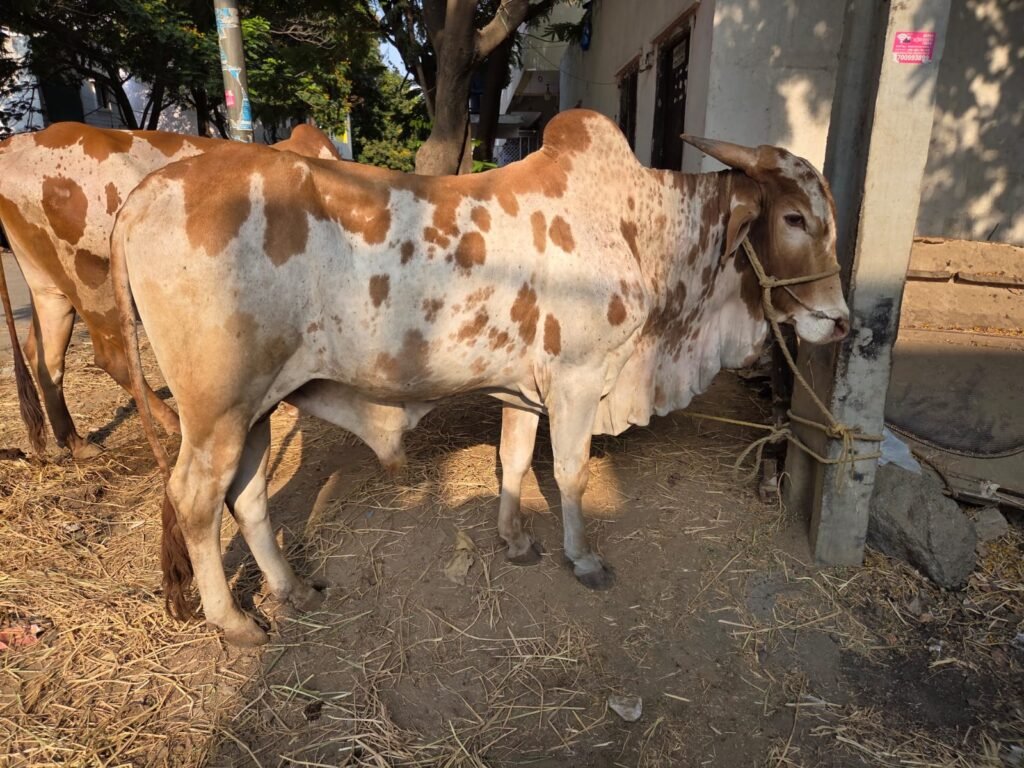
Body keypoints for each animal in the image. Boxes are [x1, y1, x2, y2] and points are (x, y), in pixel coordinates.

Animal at [0, 122, 342, 459]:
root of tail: (16, 144)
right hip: (92, 283)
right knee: (114, 358)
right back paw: (174, 422)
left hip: (49, 288)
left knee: (46, 356)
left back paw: (77, 442)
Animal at [112, 109, 849, 646]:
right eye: (793, 218)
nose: (840, 321)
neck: (637, 227)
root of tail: (146, 192)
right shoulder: (577, 380)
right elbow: (571, 473)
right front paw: (581, 557)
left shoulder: (525, 390)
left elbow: (515, 459)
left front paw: (515, 538)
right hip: (217, 413)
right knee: (196, 502)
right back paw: (235, 623)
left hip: (259, 408)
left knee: (248, 498)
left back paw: (290, 589)